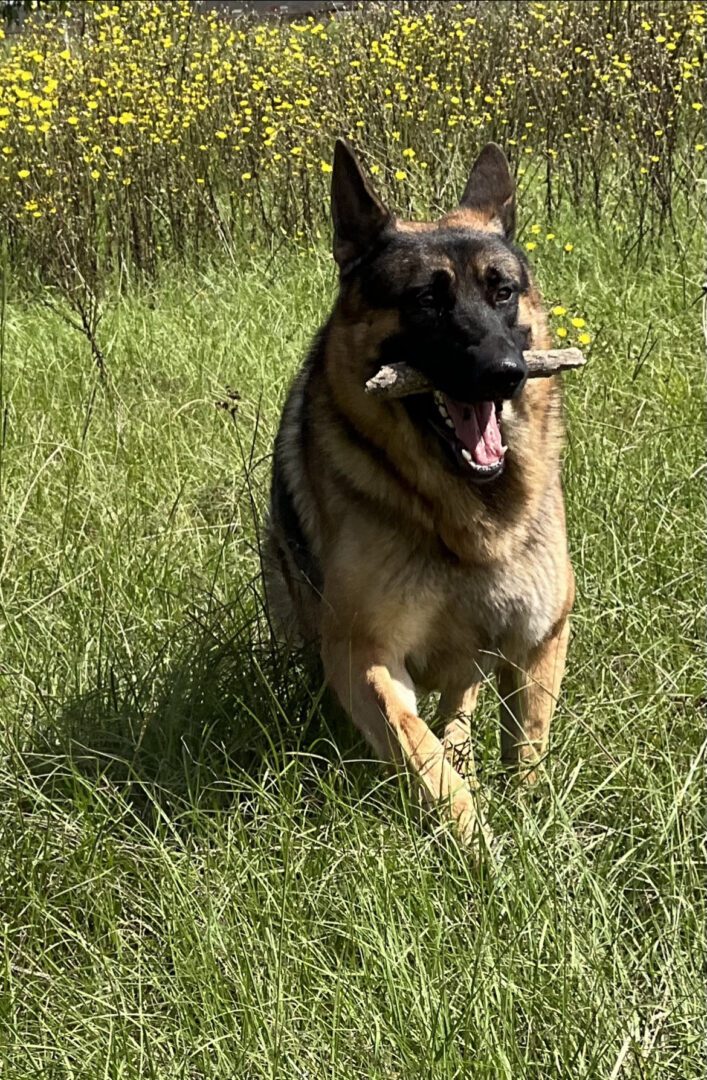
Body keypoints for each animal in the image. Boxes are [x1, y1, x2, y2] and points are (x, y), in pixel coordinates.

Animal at [265, 143, 574, 846]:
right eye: (425, 302)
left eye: (503, 292)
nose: (506, 374)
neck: (464, 514)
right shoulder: (363, 657)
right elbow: (423, 754)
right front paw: (478, 845)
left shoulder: (540, 638)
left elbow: (526, 747)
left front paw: (528, 828)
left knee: (460, 704)